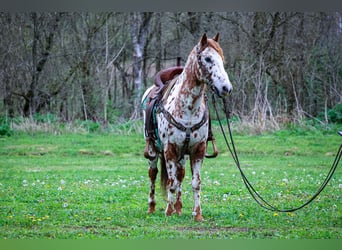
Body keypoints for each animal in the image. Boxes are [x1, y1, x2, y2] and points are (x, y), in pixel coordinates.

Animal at [141, 32, 232, 221]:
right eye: (207, 58)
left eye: (222, 59)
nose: (226, 88)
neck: (188, 108)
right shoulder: (170, 149)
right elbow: (170, 182)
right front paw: (168, 212)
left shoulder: (197, 150)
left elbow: (195, 183)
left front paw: (197, 214)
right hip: (153, 152)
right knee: (153, 174)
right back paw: (152, 207)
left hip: (182, 155)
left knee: (180, 175)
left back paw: (179, 207)